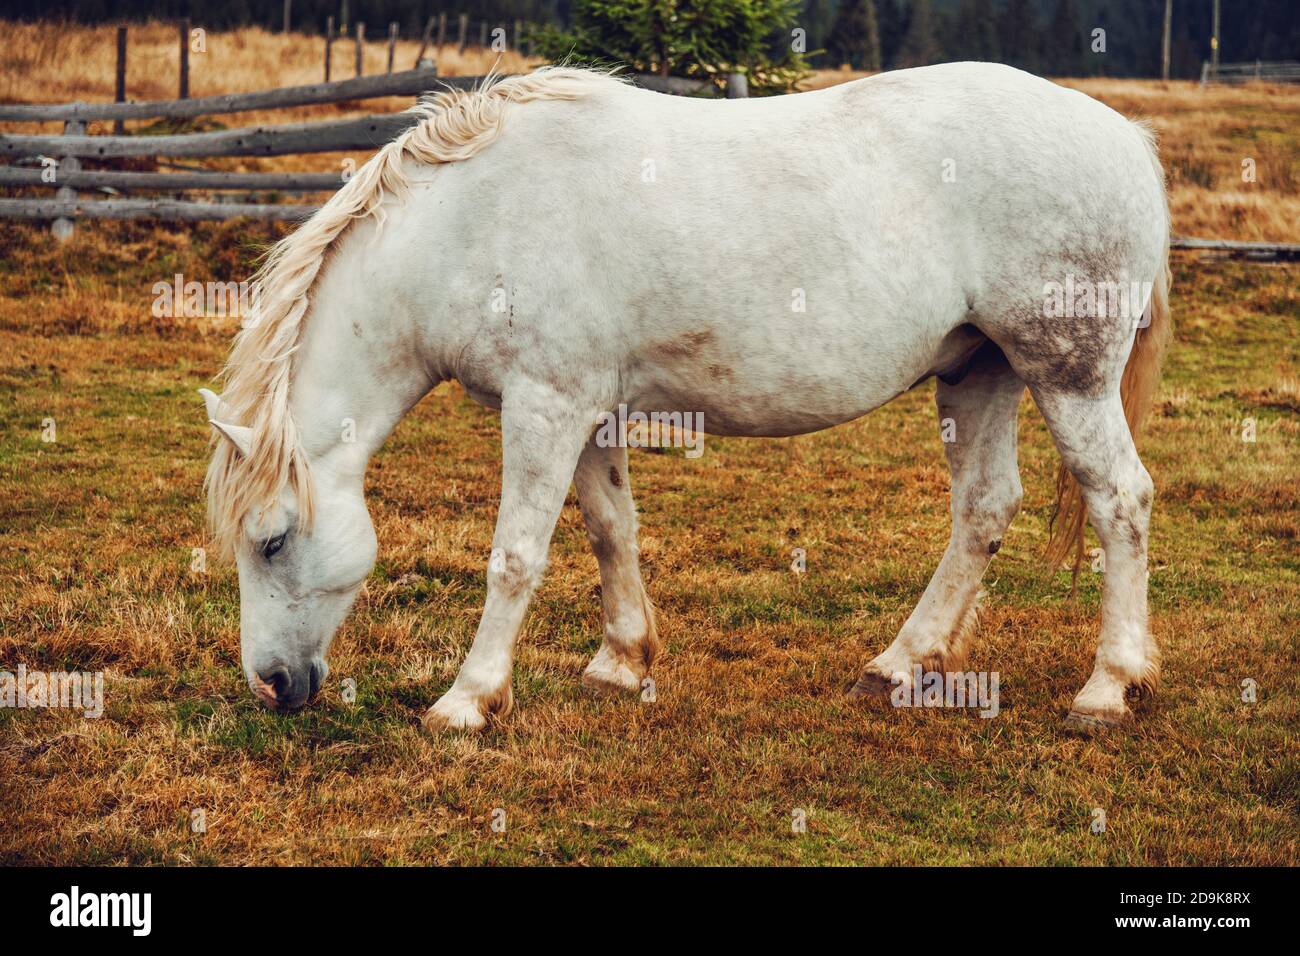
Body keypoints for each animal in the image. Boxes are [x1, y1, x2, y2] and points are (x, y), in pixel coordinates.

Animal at [200, 61, 1170, 733]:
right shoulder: (587, 410)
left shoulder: (544, 406)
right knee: (984, 508)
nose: (270, 684)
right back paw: (899, 664)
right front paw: (621, 662)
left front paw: (468, 700)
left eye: (273, 541)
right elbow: (609, 531)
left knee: (1120, 501)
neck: (474, 221)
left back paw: (1107, 687)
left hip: (1067, 374)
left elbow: (515, 556)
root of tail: (1123, 135)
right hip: (980, 372)